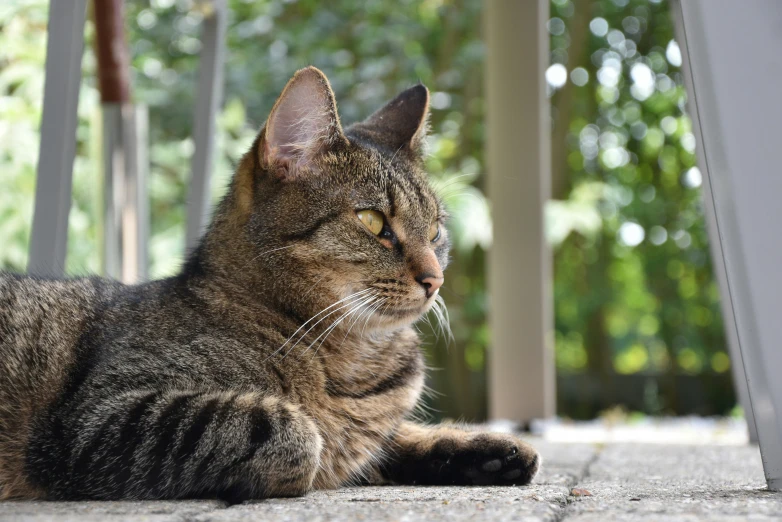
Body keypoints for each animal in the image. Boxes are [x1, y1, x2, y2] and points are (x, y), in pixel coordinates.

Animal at [0, 66, 540, 500]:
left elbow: (393, 436)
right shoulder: (99, 418)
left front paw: (485, 449)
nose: (436, 278)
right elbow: (297, 433)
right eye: (372, 222)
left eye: (435, 231)